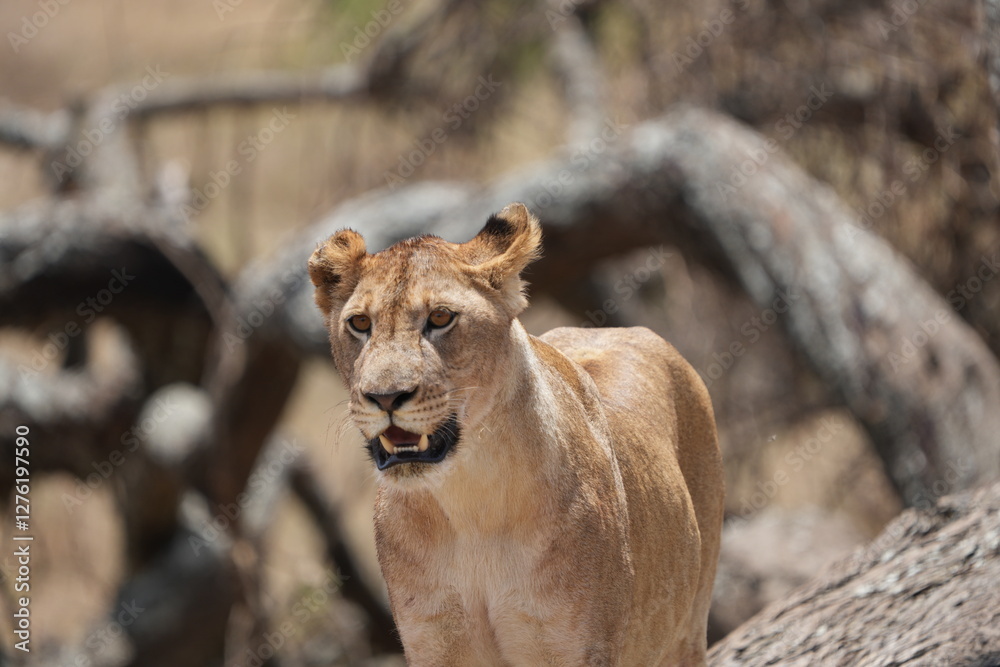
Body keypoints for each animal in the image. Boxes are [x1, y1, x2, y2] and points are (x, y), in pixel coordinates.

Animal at [308, 203, 724, 665]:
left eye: (440, 318)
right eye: (360, 323)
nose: (385, 397)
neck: (470, 499)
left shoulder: (573, 646)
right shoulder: (435, 641)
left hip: (688, 626)